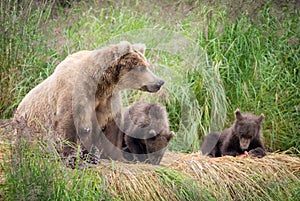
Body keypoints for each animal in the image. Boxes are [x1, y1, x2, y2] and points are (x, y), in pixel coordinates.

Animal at [14, 42, 164, 159]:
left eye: (147, 65)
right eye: (142, 67)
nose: (159, 82)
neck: (101, 84)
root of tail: (17, 109)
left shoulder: (108, 99)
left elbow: (112, 124)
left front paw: (115, 156)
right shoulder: (74, 94)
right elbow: (69, 123)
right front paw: (69, 155)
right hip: (30, 126)